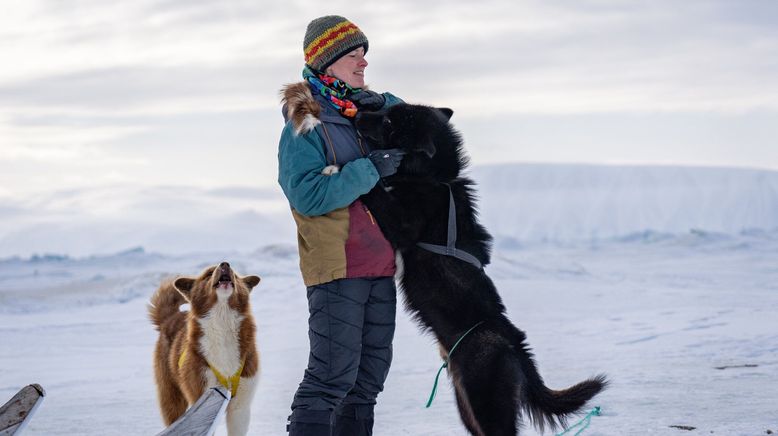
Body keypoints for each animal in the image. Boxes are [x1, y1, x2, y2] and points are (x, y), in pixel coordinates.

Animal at [149, 262, 260, 436]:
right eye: (209, 273)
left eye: (235, 274)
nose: (225, 264)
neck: (222, 322)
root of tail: (169, 318)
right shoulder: (204, 394)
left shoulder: (240, 407)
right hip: (172, 398)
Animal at [356, 105, 608, 436]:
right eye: (386, 110)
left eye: (387, 121)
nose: (358, 112)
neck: (434, 177)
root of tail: (512, 341)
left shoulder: (404, 224)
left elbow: (377, 191)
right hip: (468, 408)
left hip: (487, 404)